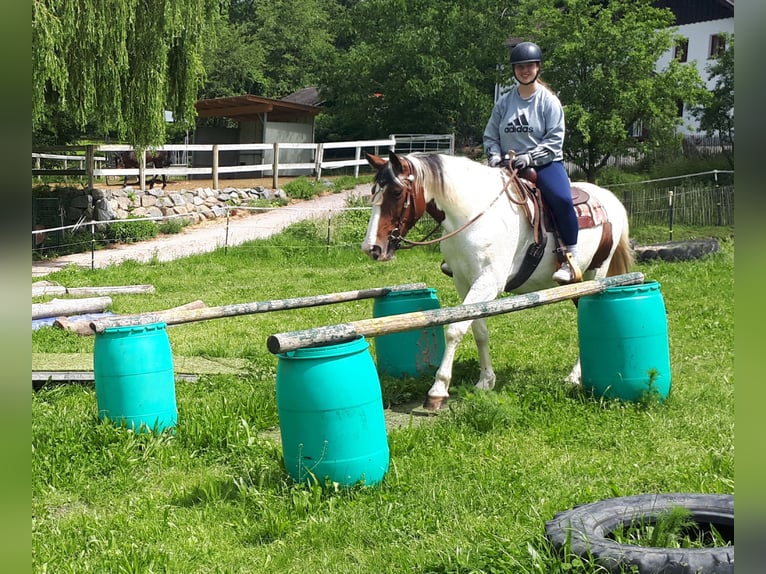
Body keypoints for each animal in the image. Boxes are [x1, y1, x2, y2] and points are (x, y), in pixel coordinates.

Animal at [364, 151, 632, 412]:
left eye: (397, 192)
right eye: (373, 191)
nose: (372, 248)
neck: (473, 215)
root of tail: (611, 199)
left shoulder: (489, 282)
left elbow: (454, 330)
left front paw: (437, 391)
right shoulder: (464, 282)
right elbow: (478, 330)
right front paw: (485, 381)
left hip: (595, 276)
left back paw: (574, 376)